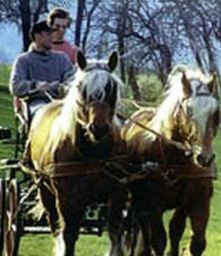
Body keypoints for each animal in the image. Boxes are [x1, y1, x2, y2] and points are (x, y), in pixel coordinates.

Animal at [21, 51, 129, 255]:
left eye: (111, 87)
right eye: (82, 88)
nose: (98, 127)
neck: (93, 153)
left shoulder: (118, 194)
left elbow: (114, 233)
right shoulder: (68, 199)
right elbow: (68, 237)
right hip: (44, 190)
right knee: (55, 227)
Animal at [121, 66, 220, 256]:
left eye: (215, 113)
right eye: (188, 110)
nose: (204, 158)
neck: (178, 161)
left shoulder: (198, 200)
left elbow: (194, 241)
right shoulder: (153, 205)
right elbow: (158, 241)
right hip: (139, 202)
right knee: (144, 231)